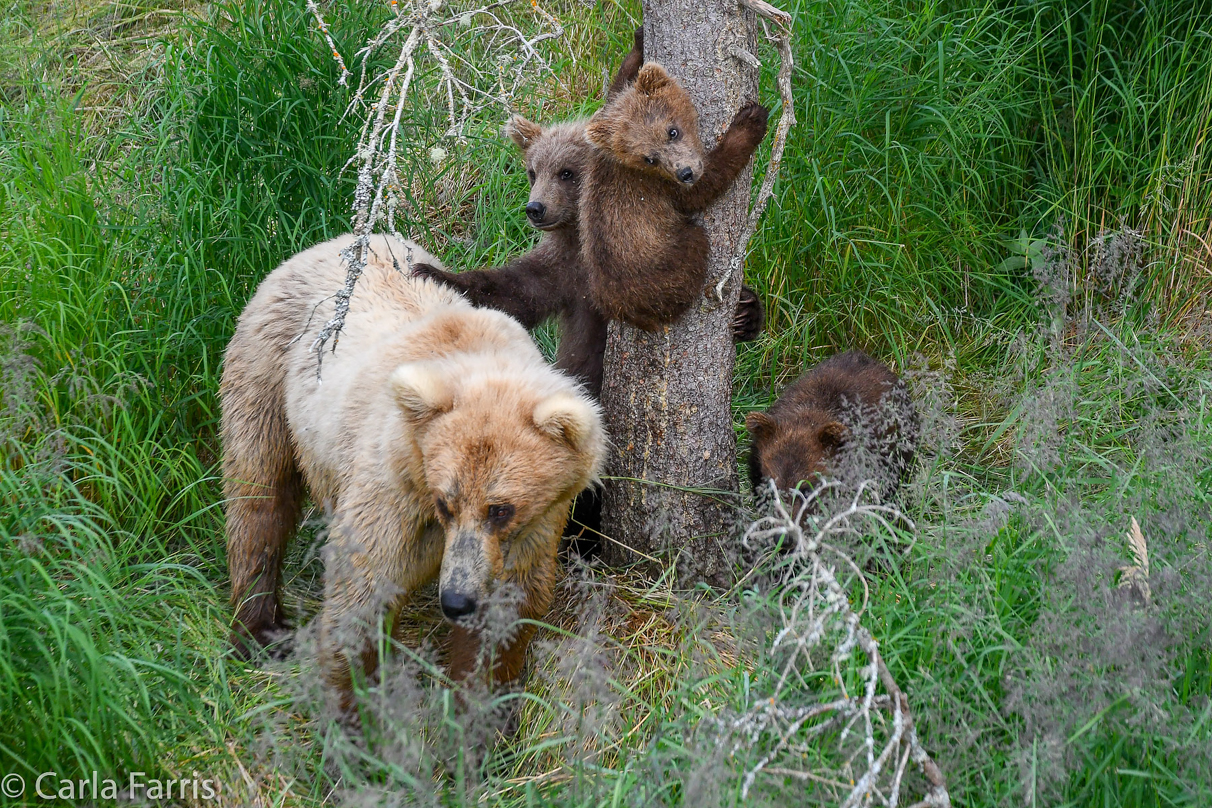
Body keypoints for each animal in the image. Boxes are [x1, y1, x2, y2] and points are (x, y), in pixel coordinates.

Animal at [219, 233, 606, 707]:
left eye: (501, 509)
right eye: (445, 502)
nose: (456, 600)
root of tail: (327, 243)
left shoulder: (536, 525)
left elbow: (505, 615)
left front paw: (479, 710)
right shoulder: (394, 487)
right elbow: (362, 592)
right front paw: (355, 708)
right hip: (269, 370)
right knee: (259, 494)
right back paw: (261, 628)